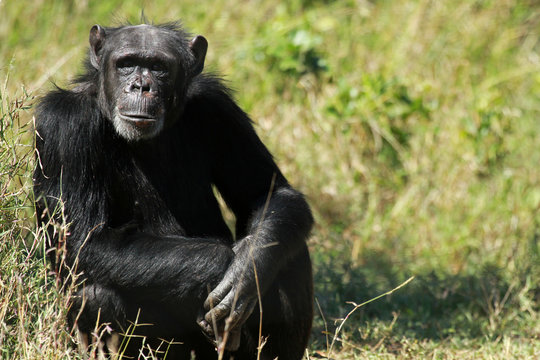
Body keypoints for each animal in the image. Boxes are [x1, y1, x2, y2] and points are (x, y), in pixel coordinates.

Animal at [32, 22, 312, 360]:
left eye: (159, 68)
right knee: (96, 295)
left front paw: (249, 267)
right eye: (126, 64)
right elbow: (86, 240)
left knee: (288, 249)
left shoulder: (219, 108)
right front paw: (226, 266)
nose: (141, 86)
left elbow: (266, 193)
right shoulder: (63, 124)